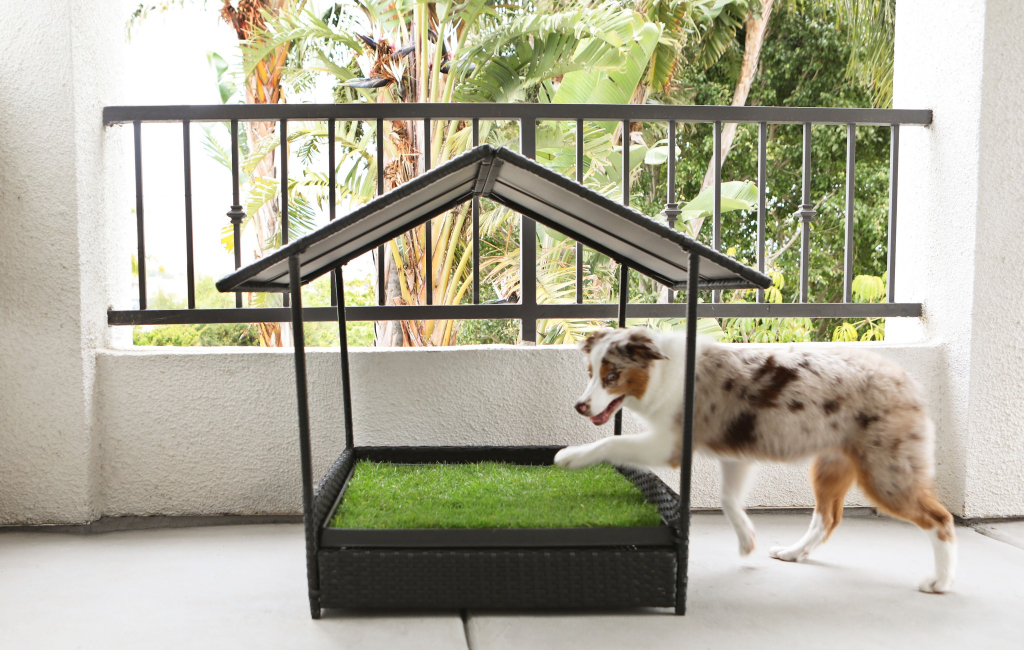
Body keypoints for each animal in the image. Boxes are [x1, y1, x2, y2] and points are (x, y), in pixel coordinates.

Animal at [557, 327, 954, 593]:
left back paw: (940, 580)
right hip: (829, 466)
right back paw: (793, 553)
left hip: (886, 474)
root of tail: (908, 382)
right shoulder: (737, 454)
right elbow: (727, 498)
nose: (579, 406)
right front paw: (747, 540)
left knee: (940, 519)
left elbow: (611, 443)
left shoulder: (669, 444)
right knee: (826, 517)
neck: (663, 373)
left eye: (612, 376)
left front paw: (570, 457)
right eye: (590, 374)